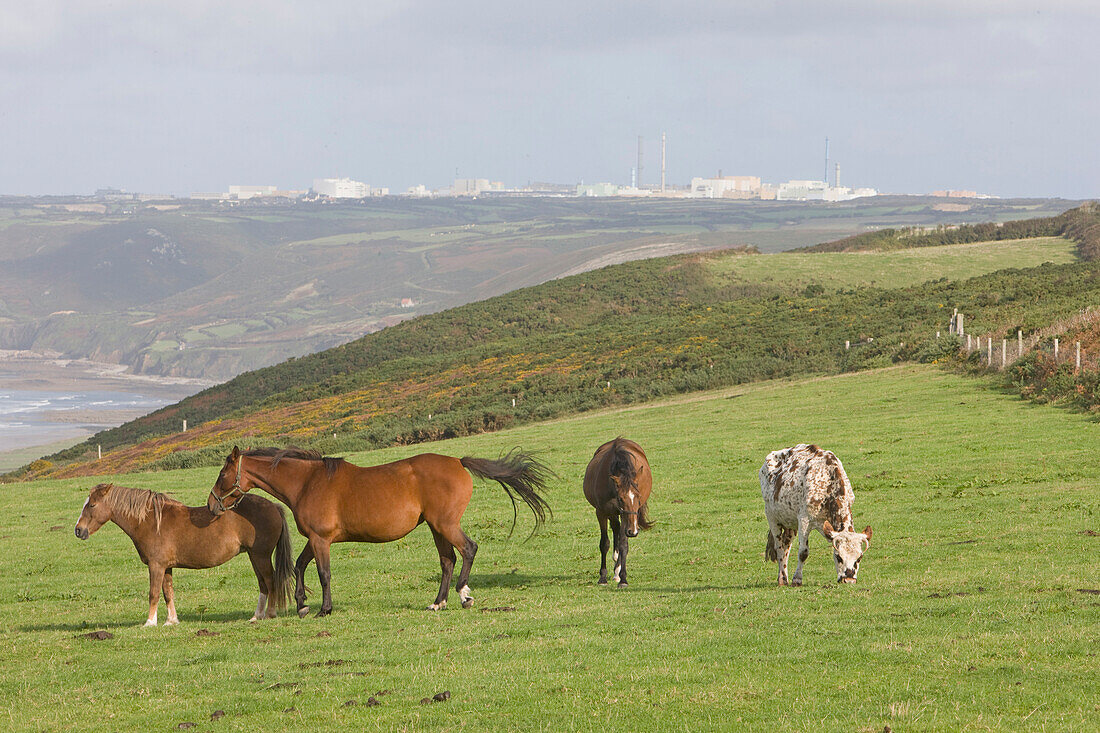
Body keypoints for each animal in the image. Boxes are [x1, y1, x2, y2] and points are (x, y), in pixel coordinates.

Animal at [75, 482, 294, 625]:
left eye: (92, 505)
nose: (78, 530)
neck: (151, 522)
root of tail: (274, 506)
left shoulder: (156, 566)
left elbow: (153, 593)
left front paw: (150, 622)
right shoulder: (166, 567)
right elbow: (168, 593)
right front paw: (171, 621)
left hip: (261, 556)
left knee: (270, 581)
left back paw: (270, 614)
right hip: (254, 556)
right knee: (263, 584)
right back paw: (257, 616)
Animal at [206, 444, 554, 616]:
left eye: (222, 474)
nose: (211, 505)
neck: (307, 482)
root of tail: (458, 461)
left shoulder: (321, 540)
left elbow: (323, 573)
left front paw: (324, 609)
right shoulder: (315, 539)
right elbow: (299, 565)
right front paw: (302, 604)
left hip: (445, 524)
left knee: (467, 549)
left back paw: (464, 595)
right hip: (435, 527)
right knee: (447, 560)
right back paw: (438, 602)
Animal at [585, 435, 651, 585]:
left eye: (638, 496)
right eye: (621, 498)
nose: (633, 531)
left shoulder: (625, 515)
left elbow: (623, 544)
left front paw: (623, 578)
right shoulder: (601, 512)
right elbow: (604, 543)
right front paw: (603, 577)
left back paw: (617, 571)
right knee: (615, 528)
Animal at [761, 442, 871, 585]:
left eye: (859, 557)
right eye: (838, 557)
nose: (848, 579)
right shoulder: (804, 520)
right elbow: (803, 552)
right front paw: (797, 579)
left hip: (790, 522)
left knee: (786, 546)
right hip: (772, 517)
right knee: (779, 547)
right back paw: (782, 579)